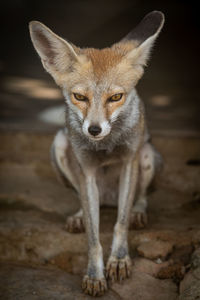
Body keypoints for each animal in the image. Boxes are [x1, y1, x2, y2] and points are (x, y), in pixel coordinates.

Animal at [28, 10, 165, 296]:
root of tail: (108, 200)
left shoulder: (129, 161)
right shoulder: (87, 172)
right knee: (87, 202)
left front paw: (120, 259)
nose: (94, 129)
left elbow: (120, 224)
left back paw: (138, 210)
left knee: (138, 198)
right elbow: (93, 237)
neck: (106, 145)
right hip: (59, 145)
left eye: (116, 97)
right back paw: (80, 215)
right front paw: (94, 274)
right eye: (80, 97)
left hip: (147, 154)